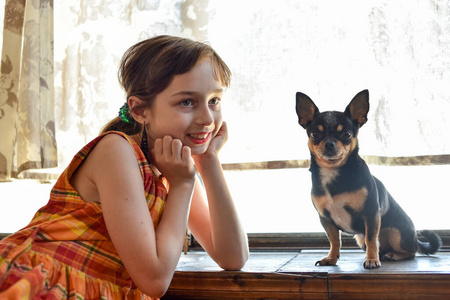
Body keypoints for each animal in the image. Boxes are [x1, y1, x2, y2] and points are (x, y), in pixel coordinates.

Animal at [296, 89, 440, 270]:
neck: (334, 172)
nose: (329, 144)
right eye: (315, 134)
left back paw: (392, 255)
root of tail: (415, 238)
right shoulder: (326, 219)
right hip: (359, 237)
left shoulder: (370, 215)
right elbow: (335, 241)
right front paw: (331, 258)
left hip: (396, 234)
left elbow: (372, 239)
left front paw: (371, 260)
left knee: (410, 252)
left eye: (346, 134)